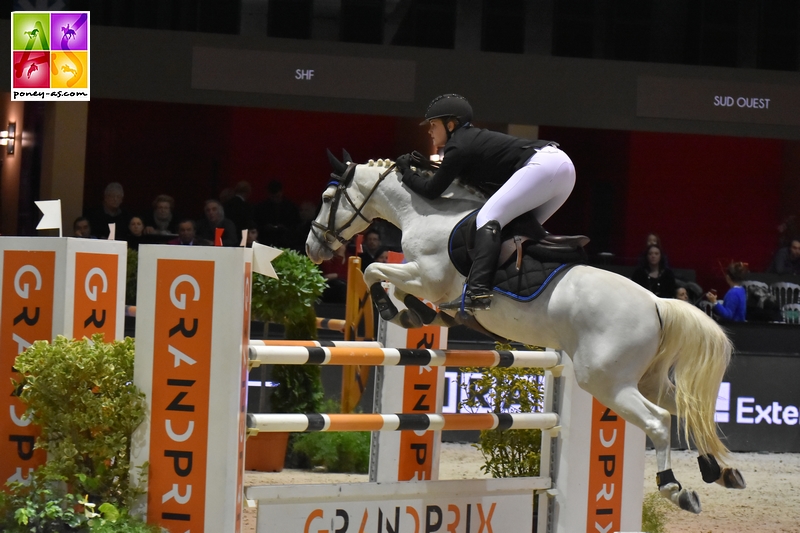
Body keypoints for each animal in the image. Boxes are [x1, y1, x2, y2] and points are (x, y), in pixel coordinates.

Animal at [304, 153, 744, 512]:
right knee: (687, 408)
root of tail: (656, 303)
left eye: (326, 198)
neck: (425, 213)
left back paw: (676, 489)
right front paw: (422, 315)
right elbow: (390, 281)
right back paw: (719, 471)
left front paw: (398, 311)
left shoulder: (427, 277)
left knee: (658, 421)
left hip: (606, 381)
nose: (312, 248)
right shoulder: (425, 280)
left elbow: (374, 270)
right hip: (646, 379)